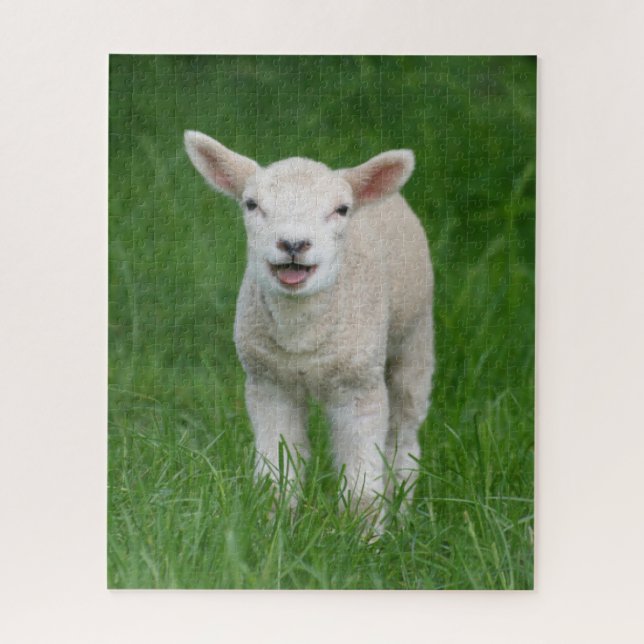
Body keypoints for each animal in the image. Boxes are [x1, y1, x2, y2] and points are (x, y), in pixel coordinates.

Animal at [185, 131, 434, 524]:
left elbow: (362, 483)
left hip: (414, 337)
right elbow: (278, 470)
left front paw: (363, 533)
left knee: (404, 435)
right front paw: (273, 523)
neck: (300, 336)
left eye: (341, 210)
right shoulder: (269, 383)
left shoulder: (359, 386)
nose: (293, 244)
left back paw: (403, 509)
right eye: (251, 204)